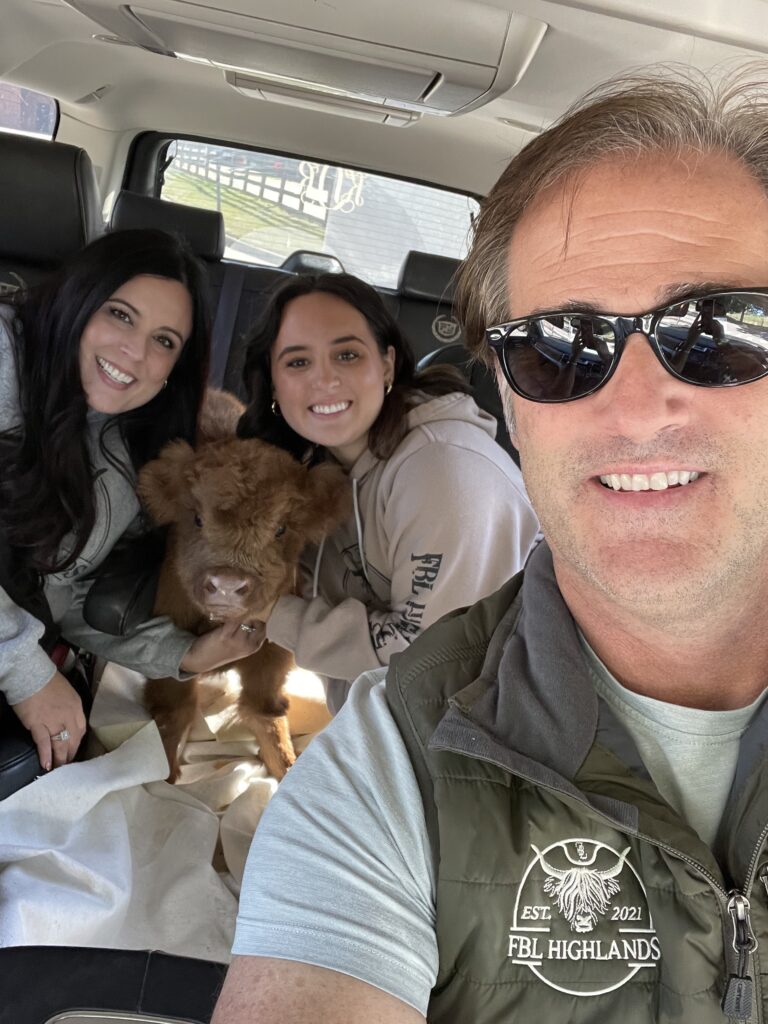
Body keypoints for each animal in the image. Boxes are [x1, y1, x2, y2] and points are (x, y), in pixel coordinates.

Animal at [139, 393, 352, 782]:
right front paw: (164, 779)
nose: (226, 585)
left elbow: (266, 713)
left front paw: (285, 768)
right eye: (196, 518)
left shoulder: (271, 657)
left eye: (281, 529)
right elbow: (171, 715)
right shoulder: (169, 665)